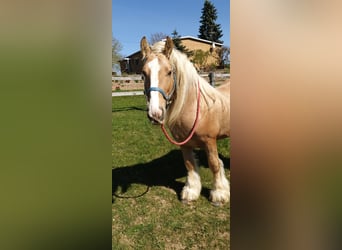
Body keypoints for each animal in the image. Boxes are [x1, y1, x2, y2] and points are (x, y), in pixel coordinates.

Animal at [139, 37, 230, 205]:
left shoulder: (210, 141)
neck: (195, 108)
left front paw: (219, 194)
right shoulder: (184, 143)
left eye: (169, 72)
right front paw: (191, 191)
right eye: (143, 73)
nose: (155, 113)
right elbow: (189, 164)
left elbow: (214, 164)